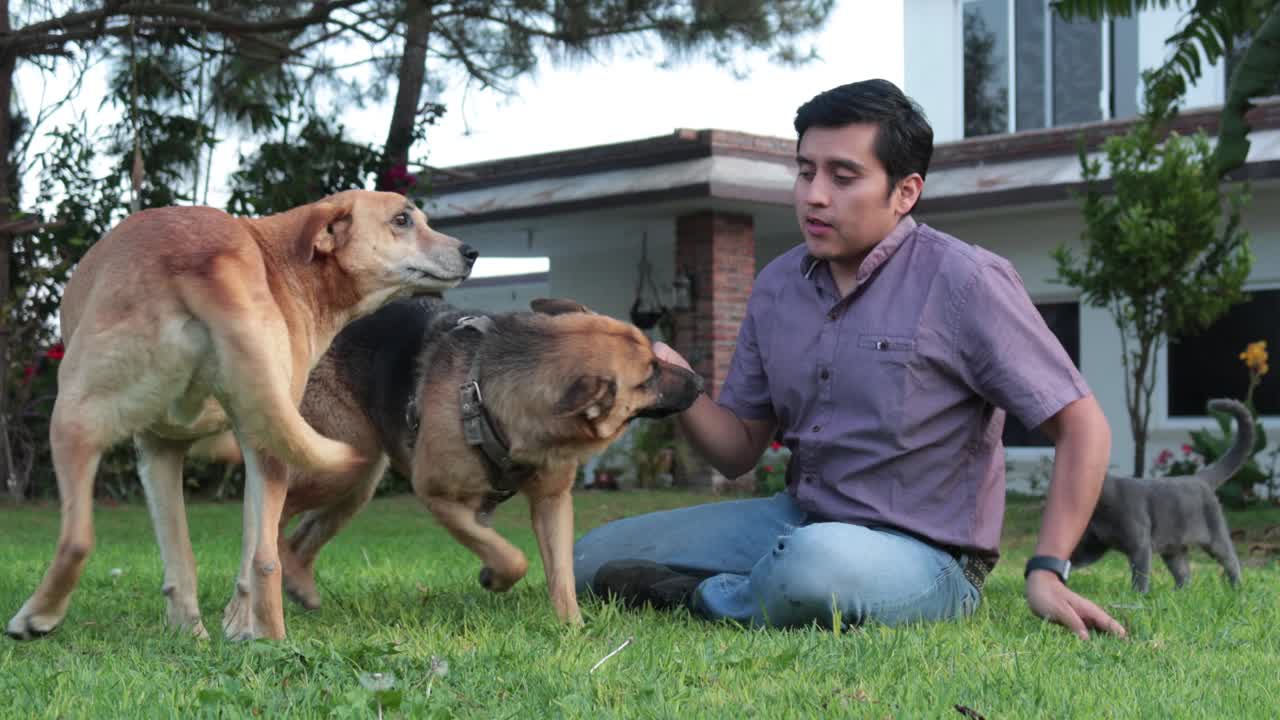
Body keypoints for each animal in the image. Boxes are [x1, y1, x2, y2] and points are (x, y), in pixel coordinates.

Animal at [6, 190, 476, 638]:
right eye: (402, 219)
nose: (471, 251)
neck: (289, 263)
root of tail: (207, 262)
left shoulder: (156, 449)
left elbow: (175, 555)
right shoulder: (187, 445)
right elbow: (197, 559)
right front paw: (198, 631)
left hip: (73, 416)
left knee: (76, 540)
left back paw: (36, 617)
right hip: (265, 438)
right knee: (264, 557)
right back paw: (266, 636)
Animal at [264, 297, 701, 622]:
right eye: (649, 377)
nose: (699, 382)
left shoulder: (552, 502)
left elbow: (560, 574)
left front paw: (573, 629)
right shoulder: (438, 497)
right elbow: (513, 557)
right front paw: (497, 577)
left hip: (357, 482)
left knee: (303, 536)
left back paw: (299, 586)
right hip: (334, 470)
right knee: (276, 514)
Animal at [1070, 394, 1249, 591]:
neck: (1100, 511)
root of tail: (1200, 478)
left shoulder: (1140, 545)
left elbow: (1140, 574)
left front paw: (1138, 594)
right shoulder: (1094, 544)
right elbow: (1075, 559)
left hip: (1215, 537)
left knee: (1231, 561)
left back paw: (1237, 588)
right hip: (1172, 548)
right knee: (1184, 572)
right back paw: (1179, 593)